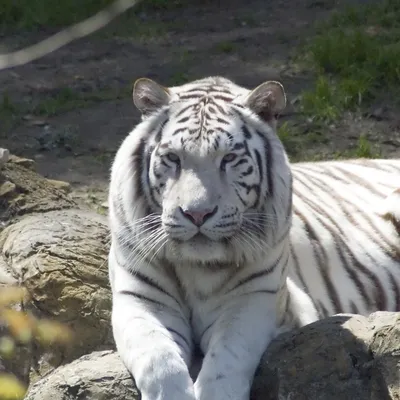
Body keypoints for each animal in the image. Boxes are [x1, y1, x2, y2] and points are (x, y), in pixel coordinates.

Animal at [108, 76, 400, 400]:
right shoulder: (140, 300)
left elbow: (228, 358)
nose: (197, 214)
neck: (198, 266)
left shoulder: (257, 299)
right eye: (173, 158)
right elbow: (160, 363)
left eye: (229, 158)